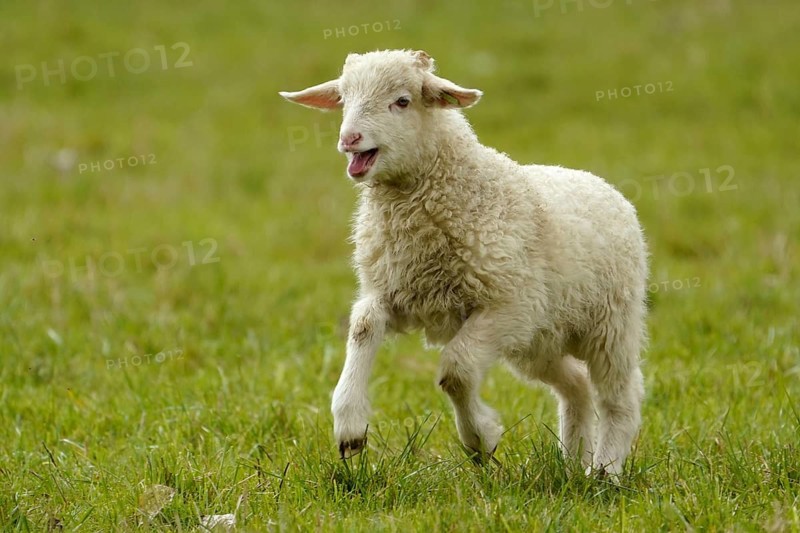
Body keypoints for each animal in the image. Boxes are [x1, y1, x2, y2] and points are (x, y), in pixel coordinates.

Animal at [280, 49, 648, 477]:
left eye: (402, 101)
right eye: (344, 98)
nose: (349, 140)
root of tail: (599, 183)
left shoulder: (510, 304)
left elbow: (456, 371)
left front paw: (481, 439)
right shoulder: (395, 289)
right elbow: (364, 327)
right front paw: (350, 428)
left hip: (609, 322)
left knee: (620, 394)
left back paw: (605, 470)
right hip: (539, 337)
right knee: (576, 385)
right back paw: (574, 461)